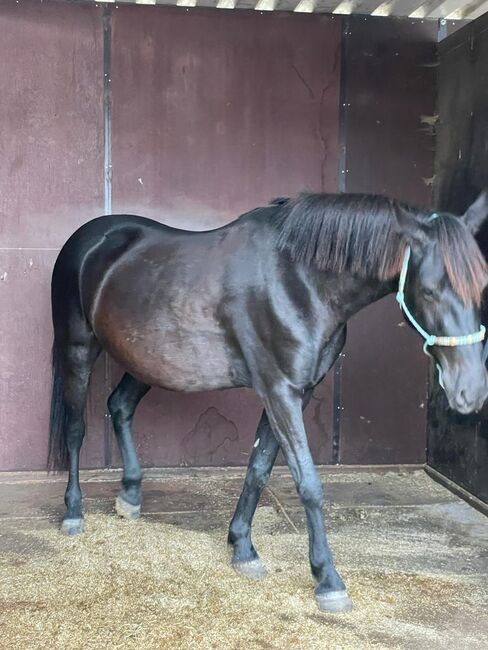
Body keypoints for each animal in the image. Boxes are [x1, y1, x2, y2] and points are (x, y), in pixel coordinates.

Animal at [47, 190, 488, 612]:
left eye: (481, 288)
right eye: (429, 290)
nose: (471, 391)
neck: (299, 282)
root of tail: (89, 239)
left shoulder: (296, 393)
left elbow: (258, 468)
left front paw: (242, 547)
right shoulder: (280, 391)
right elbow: (308, 483)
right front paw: (328, 580)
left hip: (148, 362)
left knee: (120, 406)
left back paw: (130, 496)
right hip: (78, 349)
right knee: (75, 428)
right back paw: (73, 513)